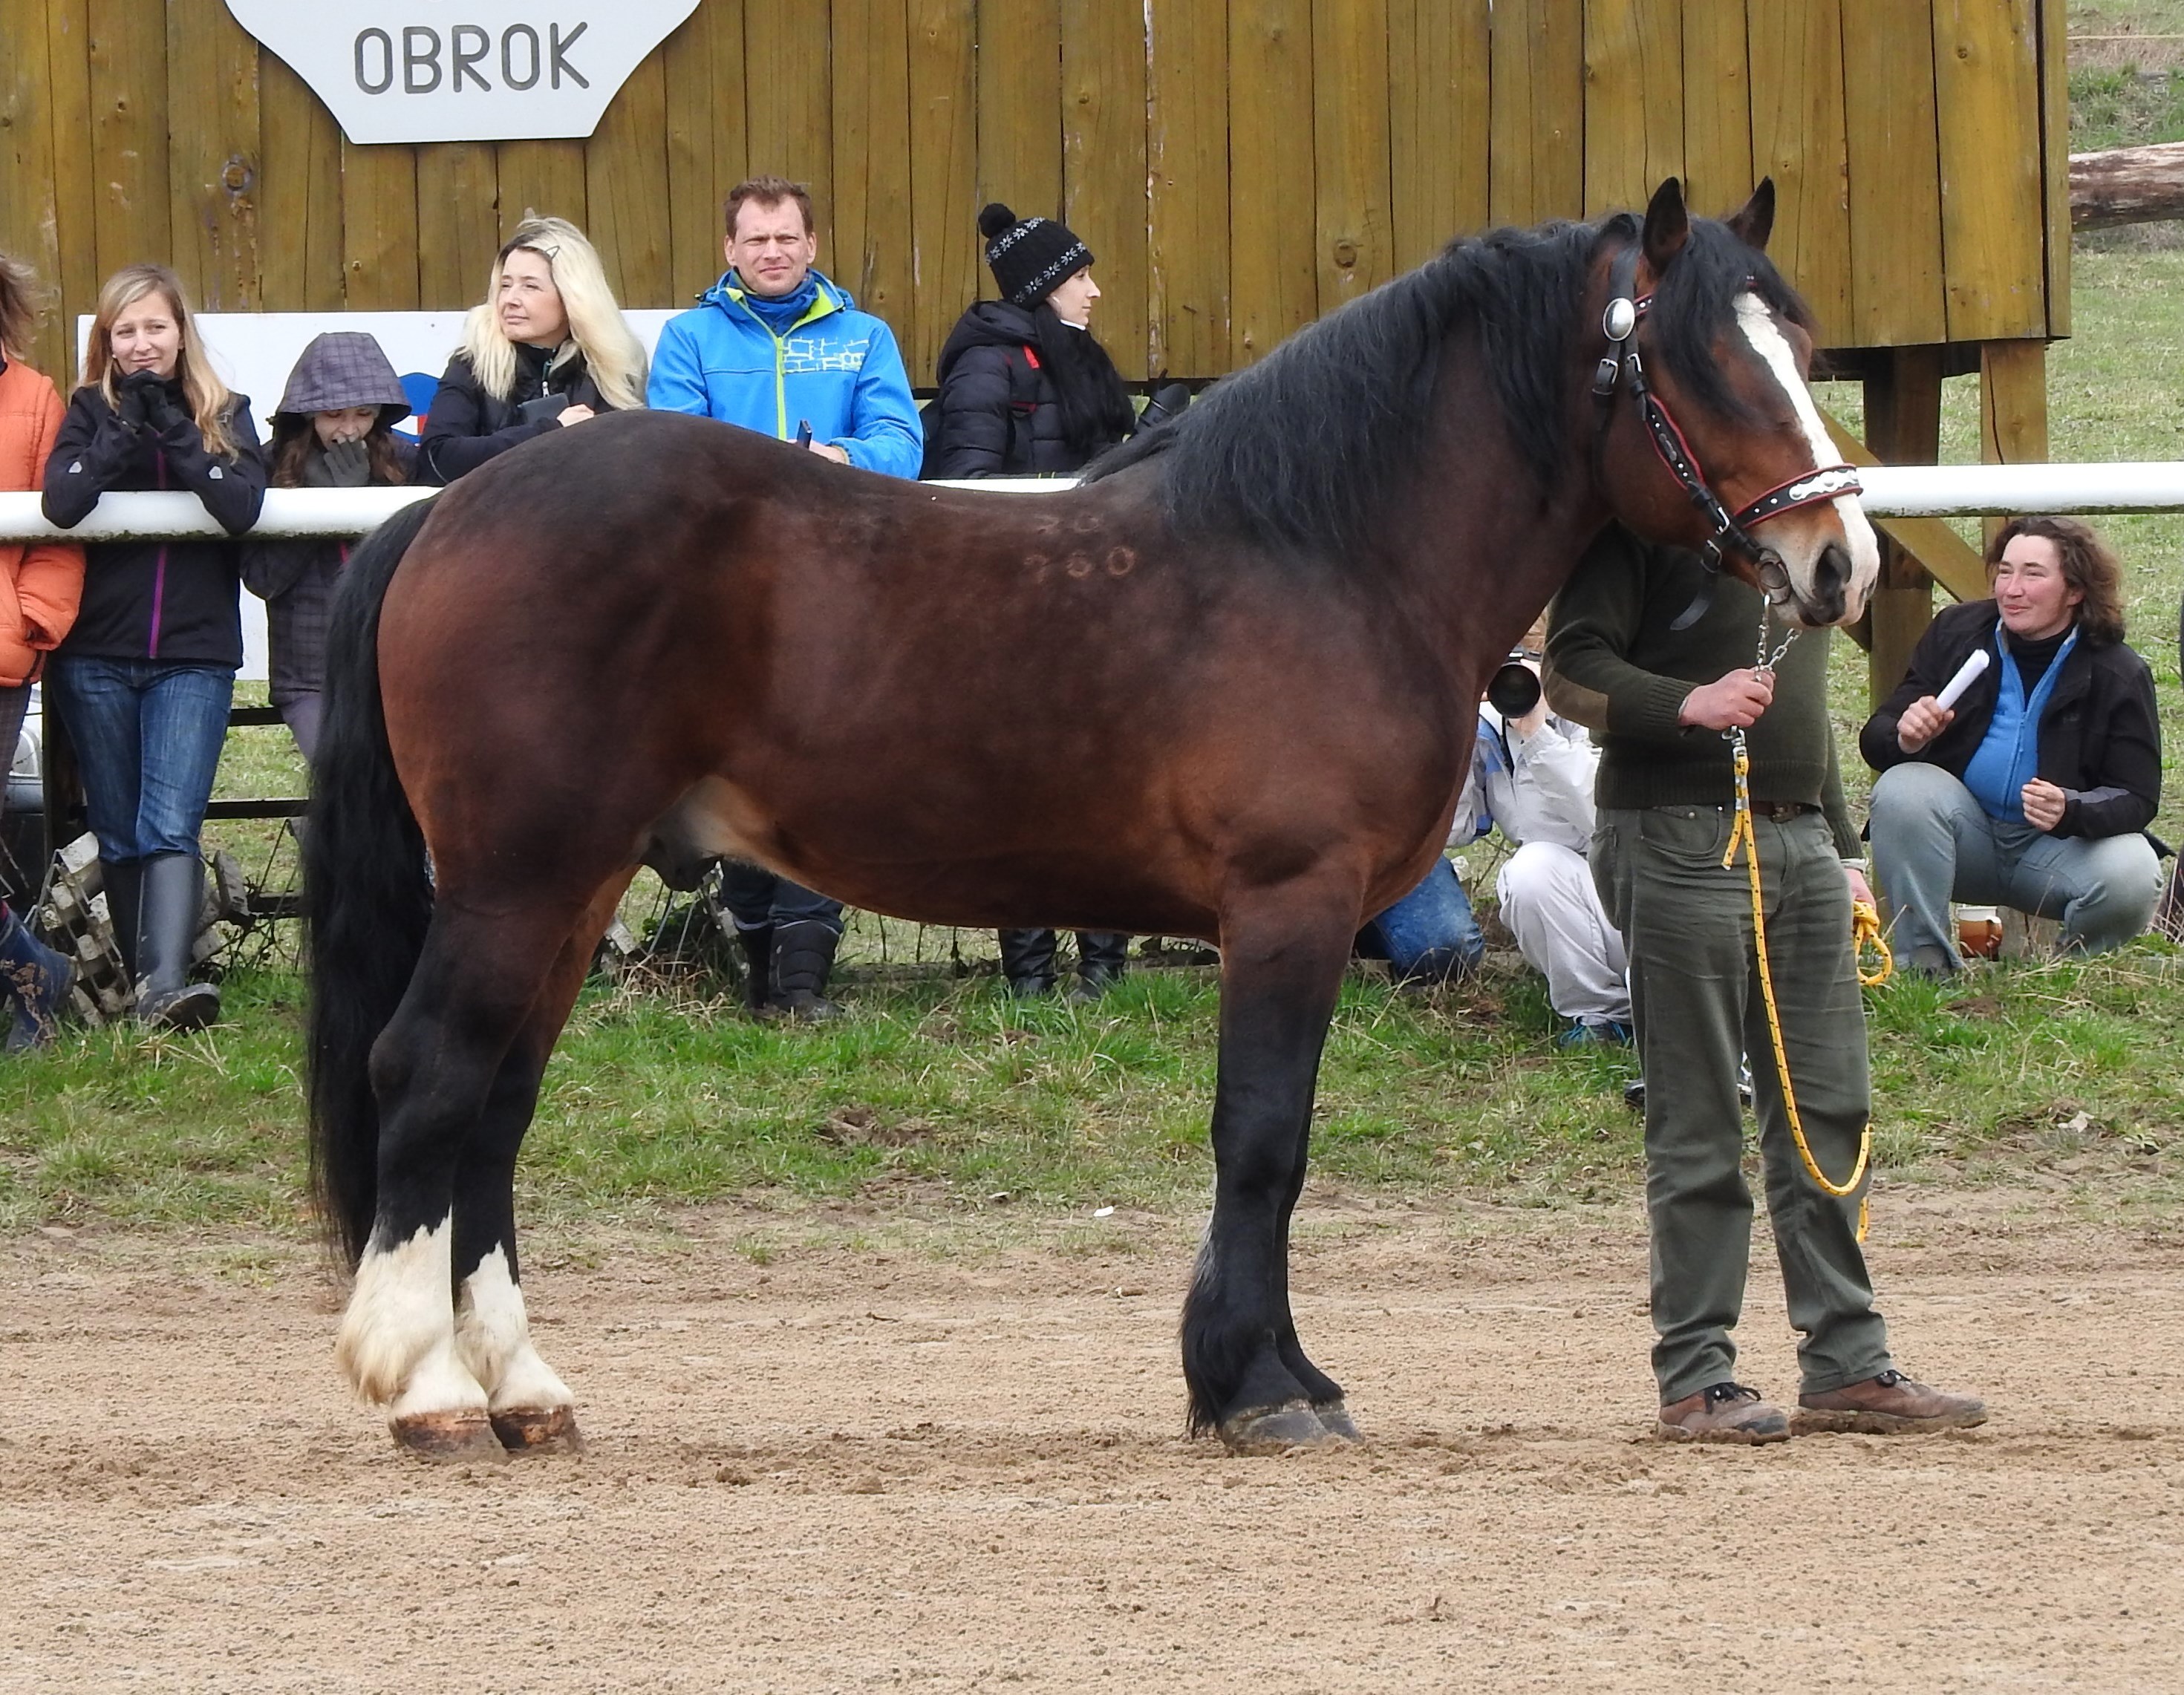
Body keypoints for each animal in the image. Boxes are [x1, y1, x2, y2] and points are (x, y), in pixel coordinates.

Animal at [303, 179, 1878, 1459]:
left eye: (1803, 347)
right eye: (1703, 360)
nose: (1841, 560)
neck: (1328, 552)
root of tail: (449, 512)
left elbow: (1277, 1146)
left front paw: (1274, 1371)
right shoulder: (1289, 905)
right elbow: (1263, 1139)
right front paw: (1258, 1388)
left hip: (568, 894)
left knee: (497, 1108)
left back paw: (523, 1388)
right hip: (517, 881)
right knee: (428, 1075)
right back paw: (428, 1386)